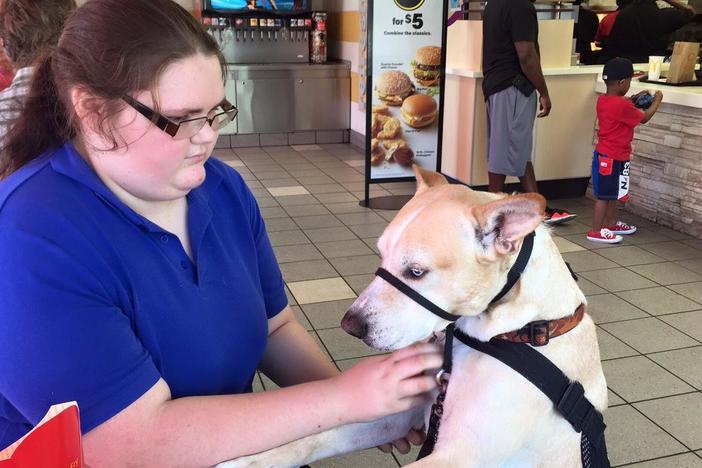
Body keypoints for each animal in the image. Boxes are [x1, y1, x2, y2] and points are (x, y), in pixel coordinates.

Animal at [221, 168, 612, 468]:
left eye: (417, 272)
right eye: (382, 253)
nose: (350, 326)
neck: (515, 333)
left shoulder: (460, 455)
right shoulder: (403, 410)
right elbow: (314, 439)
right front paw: (246, 461)